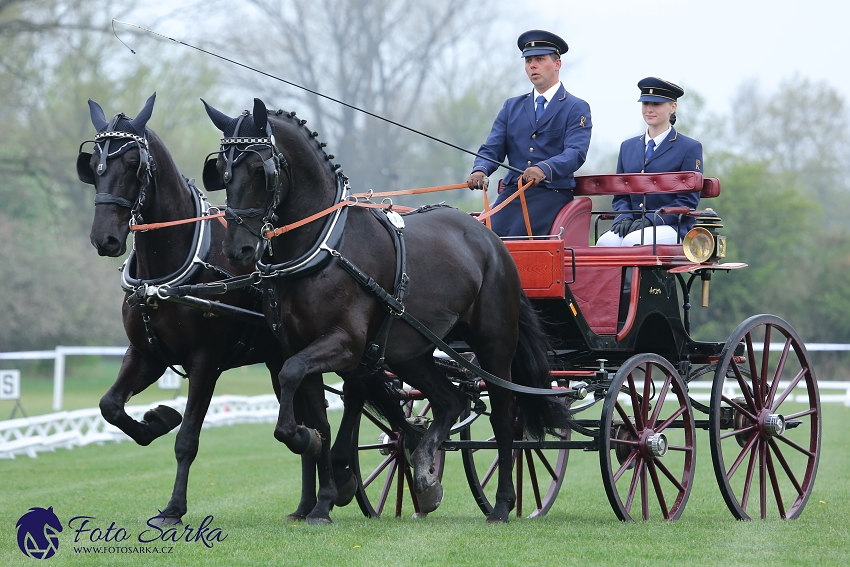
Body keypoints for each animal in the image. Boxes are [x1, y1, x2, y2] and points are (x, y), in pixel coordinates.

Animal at [76, 93, 346, 524]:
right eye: (93, 166)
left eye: (134, 163)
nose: (106, 238)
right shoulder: (147, 353)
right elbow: (110, 406)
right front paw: (156, 420)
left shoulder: (206, 361)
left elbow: (187, 439)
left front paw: (174, 508)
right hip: (278, 360)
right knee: (306, 417)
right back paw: (305, 504)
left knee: (316, 419)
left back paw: (322, 497)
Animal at [201, 97, 568, 524]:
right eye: (221, 171)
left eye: (262, 170)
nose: (238, 250)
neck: (326, 244)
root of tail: (491, 238)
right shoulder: (301, 346)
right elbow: (318, 414)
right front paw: (322, 496)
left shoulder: (345, 344)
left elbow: (300, 385)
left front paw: (307, 446)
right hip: (412, 352)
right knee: (451, 401)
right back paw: (425, 474)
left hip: (494, 346)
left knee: (505, 416)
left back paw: (503, 503)